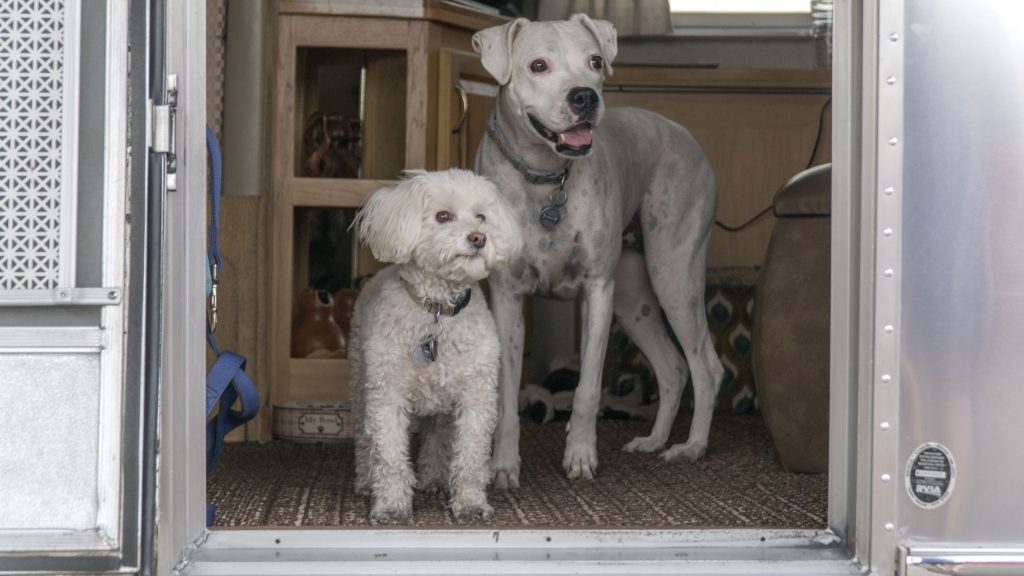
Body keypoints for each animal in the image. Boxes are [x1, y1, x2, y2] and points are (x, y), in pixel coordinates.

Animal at [352, 167, 528, 520]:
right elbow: (389, 456)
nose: (479, 237)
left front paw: (471, 503)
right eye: (443, 216)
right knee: (363, 438)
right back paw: (365, 481)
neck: (437, 309)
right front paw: (391, 505)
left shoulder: (476, 397)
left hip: (442, 406)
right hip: (361, 382)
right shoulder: (387, 396)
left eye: (482, 217)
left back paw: (433, 478)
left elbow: (471, 457)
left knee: (438, 436)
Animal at [473, 15, 724, 485]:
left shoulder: (597, 293)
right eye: (538, 65)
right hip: (633, 300)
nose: (585, 96)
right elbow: (505, 396)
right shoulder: (507, 299)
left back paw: (692, 447)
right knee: (673, 368)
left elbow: (587, 388)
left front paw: (580, 456)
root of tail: (682, 132)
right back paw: (653, 440)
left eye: (593, 61)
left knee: (706, 368)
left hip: (673, 276)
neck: (546, 179)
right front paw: (503, 468)